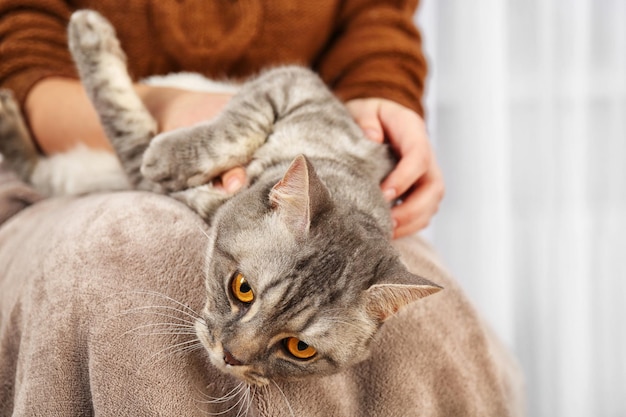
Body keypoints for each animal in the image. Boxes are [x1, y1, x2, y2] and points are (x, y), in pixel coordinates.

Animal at [0, 10, 442, 386]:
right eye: (242, 289)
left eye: (300, 349)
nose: (230, 356)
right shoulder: (293, 82)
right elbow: (233, 126)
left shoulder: (149, 176)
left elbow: (127, 125)